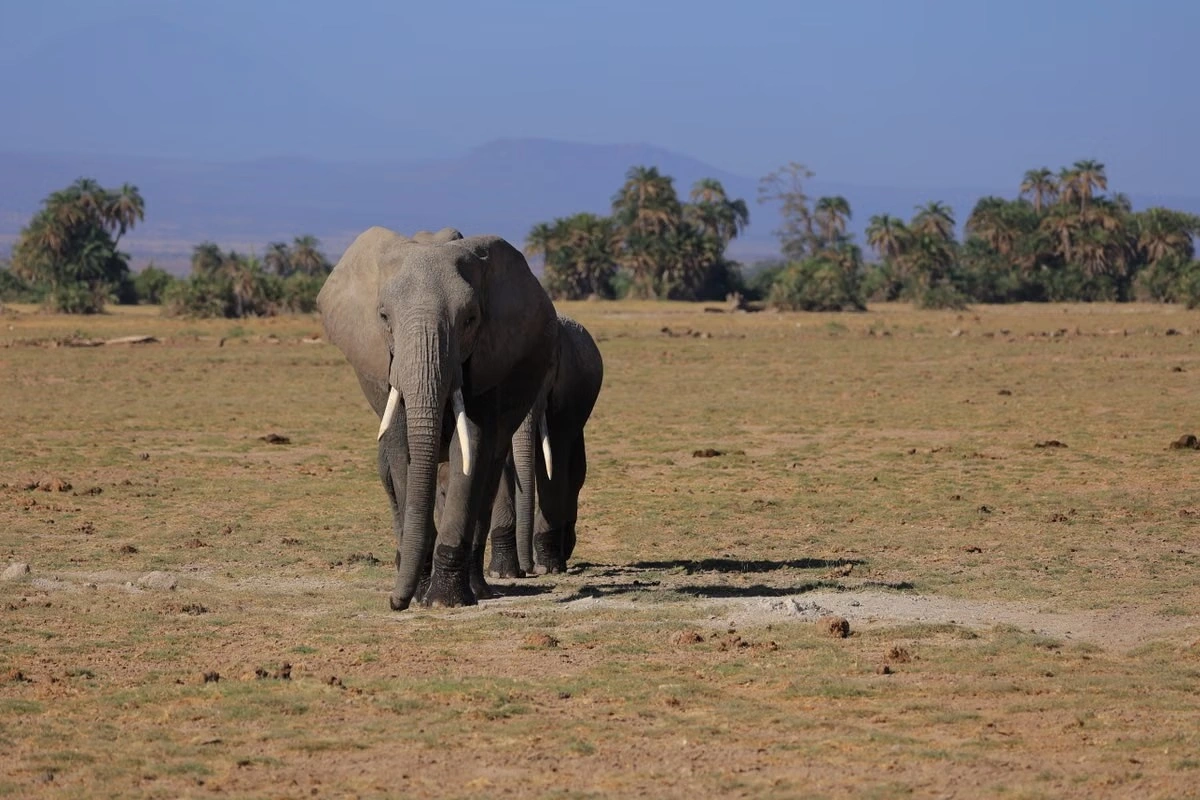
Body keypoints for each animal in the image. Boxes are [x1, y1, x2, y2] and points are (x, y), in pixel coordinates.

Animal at [317, 226, 558, 609]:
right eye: (384, 318)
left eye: (470, 319)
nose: (394, 602)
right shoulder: (387, 370)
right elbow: (402, 453)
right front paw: (418, 594)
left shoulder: (484, 361)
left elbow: (470, 446)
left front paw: (444, 601)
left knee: (487, 477)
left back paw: (478, 589)